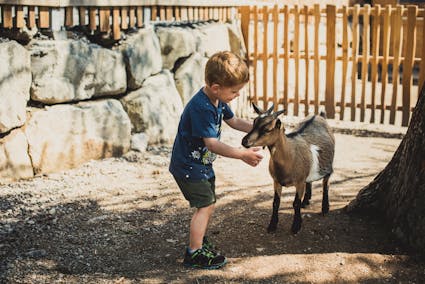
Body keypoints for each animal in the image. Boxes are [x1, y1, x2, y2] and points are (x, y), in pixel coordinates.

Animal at [242, 103, 334, 233]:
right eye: (254, 123)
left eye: (267, 129)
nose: (244, 141)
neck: (290, 157)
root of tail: (319, 116)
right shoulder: (276, 181)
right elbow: (276, 202)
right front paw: (272, 225)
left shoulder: (299, 182)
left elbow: (295, 203)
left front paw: (296, 226)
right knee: (310, 181)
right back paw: (306, 201)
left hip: (328, 165)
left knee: (326, 183)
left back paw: (325, 208)